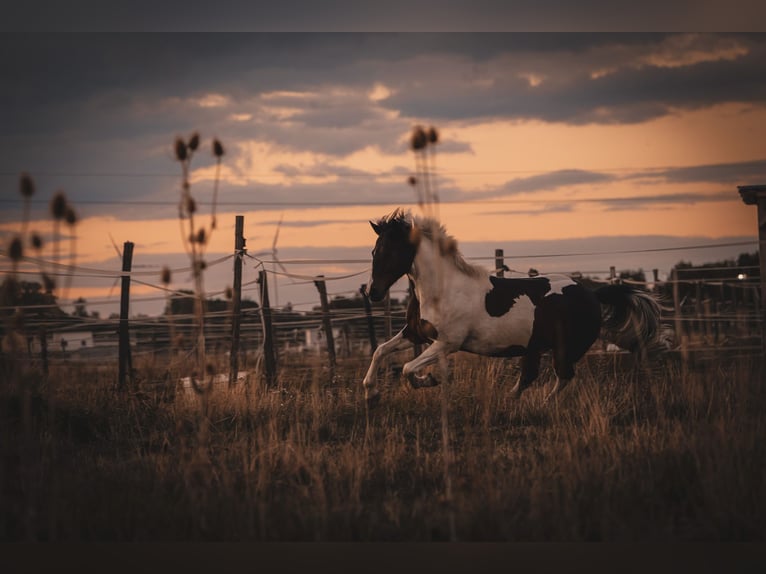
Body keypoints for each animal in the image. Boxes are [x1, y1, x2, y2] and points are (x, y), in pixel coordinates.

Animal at [361, 209, 667, 408]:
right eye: (374, 251)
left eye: (392, 251)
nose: (373, 292)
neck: (443, 290)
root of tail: (591, 293)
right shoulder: (416, 334)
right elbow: (380, 351)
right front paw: (371, 393)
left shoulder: (448, 343)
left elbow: (407, 368)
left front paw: (428, 380)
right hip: (534, 347)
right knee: (531, 376)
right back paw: (511, 400)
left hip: (563, 349)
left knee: (563, 375)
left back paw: (541, 404)